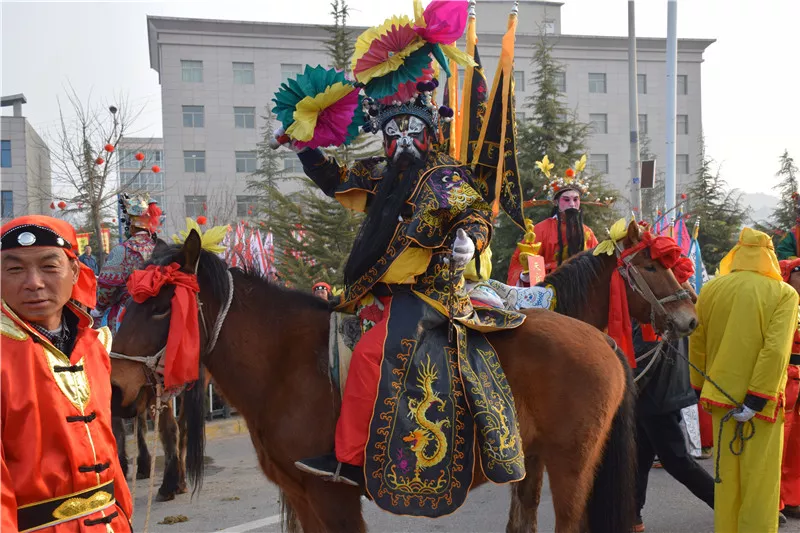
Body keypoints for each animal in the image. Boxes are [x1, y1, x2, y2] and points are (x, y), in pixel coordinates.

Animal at [108, 225, 692, 532]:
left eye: (160, 307)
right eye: (129, 304)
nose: (115, 389)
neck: (285, 363)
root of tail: (603, 343)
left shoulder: (332, 496)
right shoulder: (303, 497)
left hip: (574, 462)